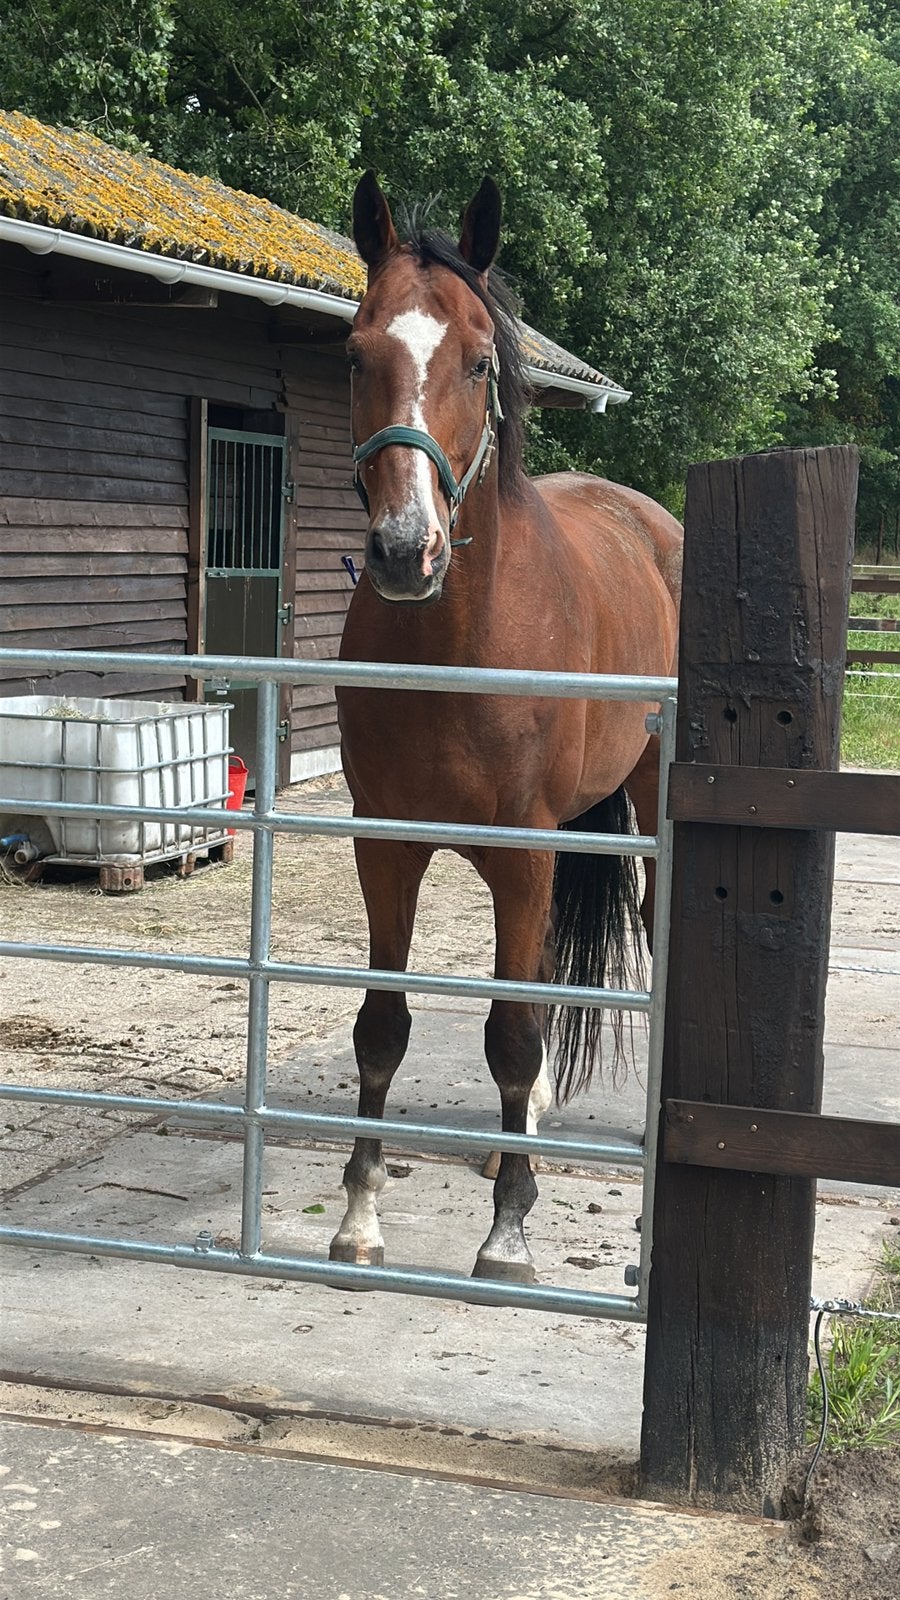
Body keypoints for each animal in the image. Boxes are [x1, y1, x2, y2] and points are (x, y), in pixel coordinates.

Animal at [328, 172, 682, 1285]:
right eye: (356, 351)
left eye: (479, 360)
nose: (406, 550)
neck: (459, 642)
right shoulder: (385, 849)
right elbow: (384, 1026)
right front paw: (360, 1216)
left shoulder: (524, 856)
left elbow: (515, 1033)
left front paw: (511, 1232)